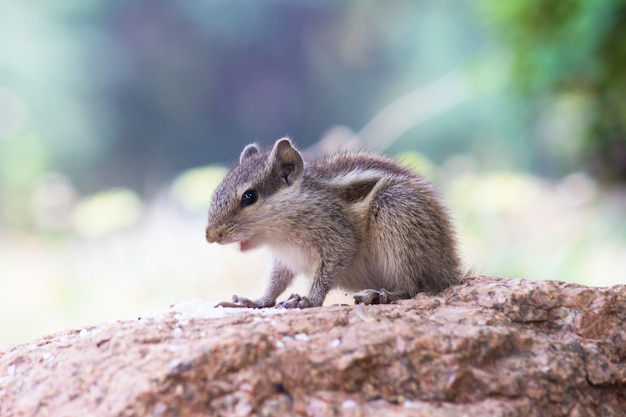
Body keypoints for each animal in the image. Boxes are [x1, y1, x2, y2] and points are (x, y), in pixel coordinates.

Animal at [206, 138, 464, 308]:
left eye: (249, 197)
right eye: (218, 190)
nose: (210, 235)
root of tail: (450, 269)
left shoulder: (336, 235)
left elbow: (327, 271)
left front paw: (308, 300)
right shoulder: (284, 258)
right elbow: (276, 281)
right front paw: (255, 300)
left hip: (395, 209)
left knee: (414, 288)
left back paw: (380, 295)